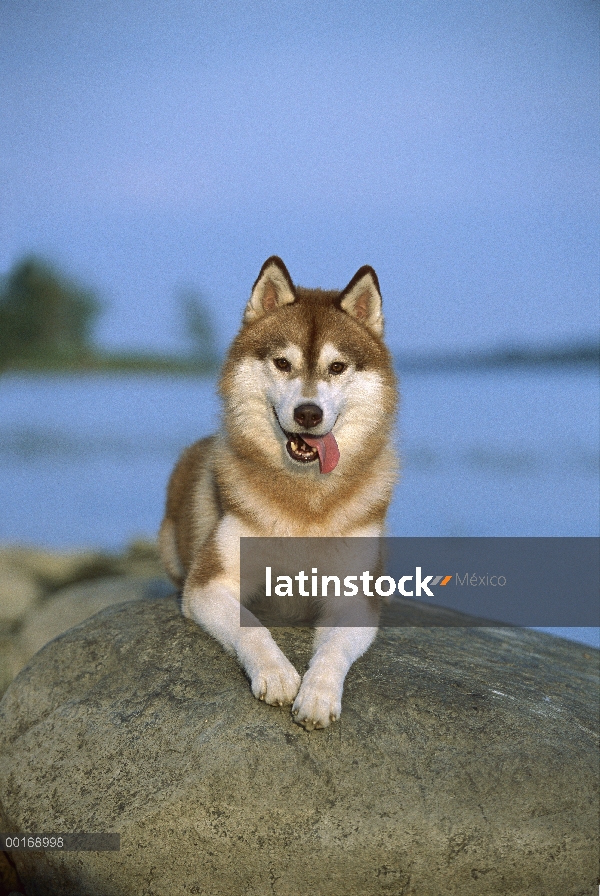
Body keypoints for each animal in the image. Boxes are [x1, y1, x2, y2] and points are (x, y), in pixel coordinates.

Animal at [159, 254, 398, 728]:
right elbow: (251, 626)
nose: (308, 413)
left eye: (337, 367)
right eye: (283, 363)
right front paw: (278, 674)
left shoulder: (355, 600)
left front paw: (318, 693)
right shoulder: (209, 584)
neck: (303, 501)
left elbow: (334, 650)